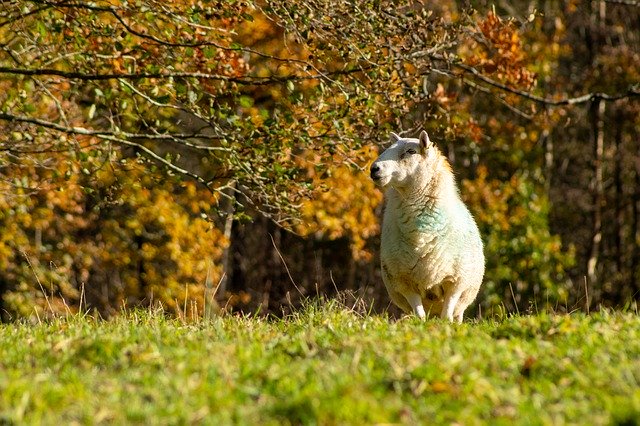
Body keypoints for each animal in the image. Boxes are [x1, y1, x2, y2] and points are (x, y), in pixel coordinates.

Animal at [370, 131, 484, 322]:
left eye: (411, 151)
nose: (374, 169)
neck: (421, 235)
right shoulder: (404, 282)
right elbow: (420, 315)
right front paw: (421, 325)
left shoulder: (455, 281)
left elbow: (447, 314)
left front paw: (446, 325)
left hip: (464, 297)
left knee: (455, 314)